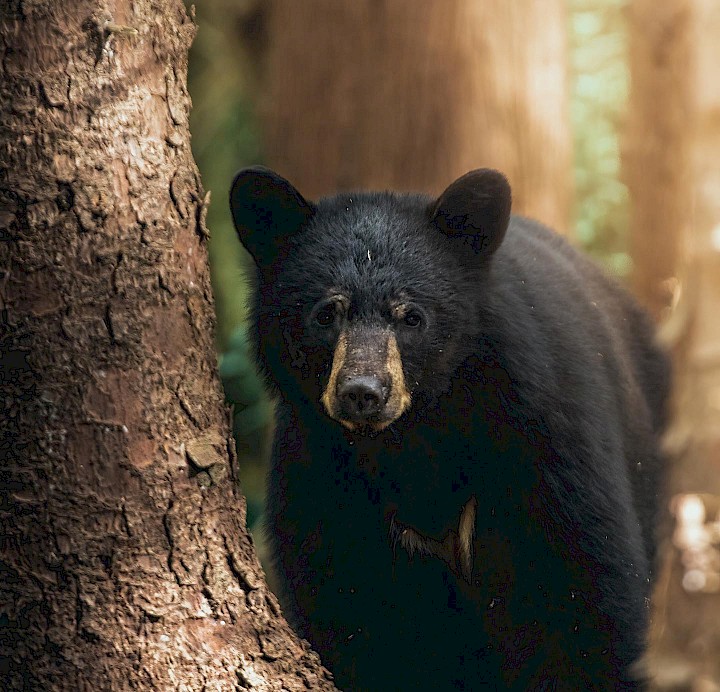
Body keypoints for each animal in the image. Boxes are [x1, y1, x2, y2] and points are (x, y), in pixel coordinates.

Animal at [229, 169, 668, 692]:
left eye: (411, 316)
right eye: (326, 313)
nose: (362, 392)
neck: (414, 438)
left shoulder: (543, 438)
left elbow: (585, 594)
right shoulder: (321, 474)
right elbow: (353, 609)